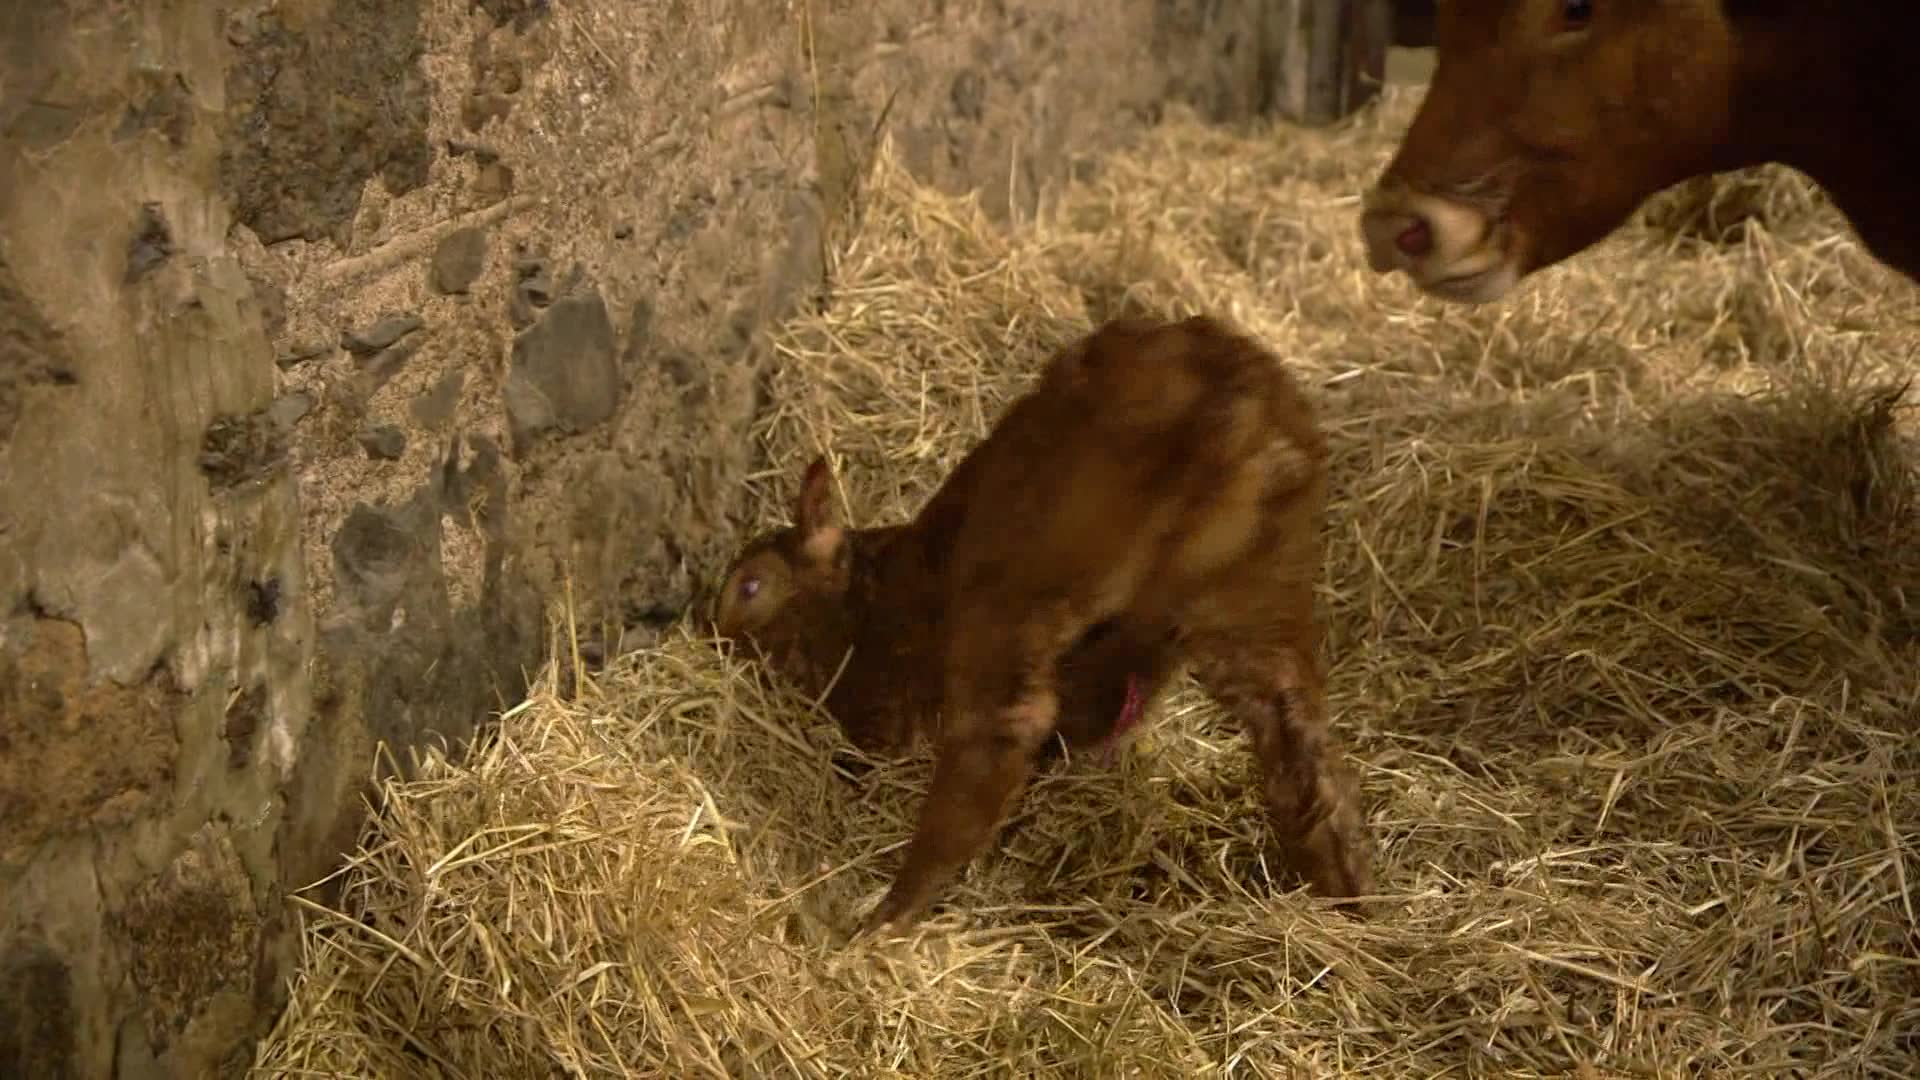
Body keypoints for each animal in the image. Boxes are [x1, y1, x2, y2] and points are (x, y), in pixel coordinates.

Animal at [710, 311, 1367, 933]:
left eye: (750, 586)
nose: (715, 634)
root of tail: (1238, 397)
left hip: (1029, 574)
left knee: (1004, 725)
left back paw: (887, 917)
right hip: (1250, 594)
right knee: (1301, 750)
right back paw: (1347, 899)